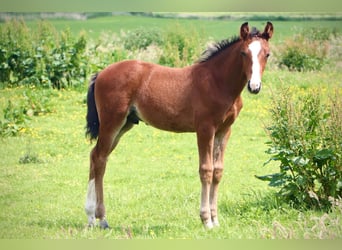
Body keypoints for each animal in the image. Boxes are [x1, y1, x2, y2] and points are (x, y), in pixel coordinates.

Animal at [85, 21, 272, 229]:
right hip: (112, 122)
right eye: (243, 53)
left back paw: (93, 217)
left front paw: (215, 220)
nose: (254, 87)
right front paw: (206, 220)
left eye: (267, 54)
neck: (217, 82)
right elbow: (206, 170)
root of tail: (101, 73)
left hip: (124, 124)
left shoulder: (224, 130)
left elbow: (218, 171)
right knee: (99, 158)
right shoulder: (205, 129)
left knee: (97, 156)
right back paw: (99, 217)